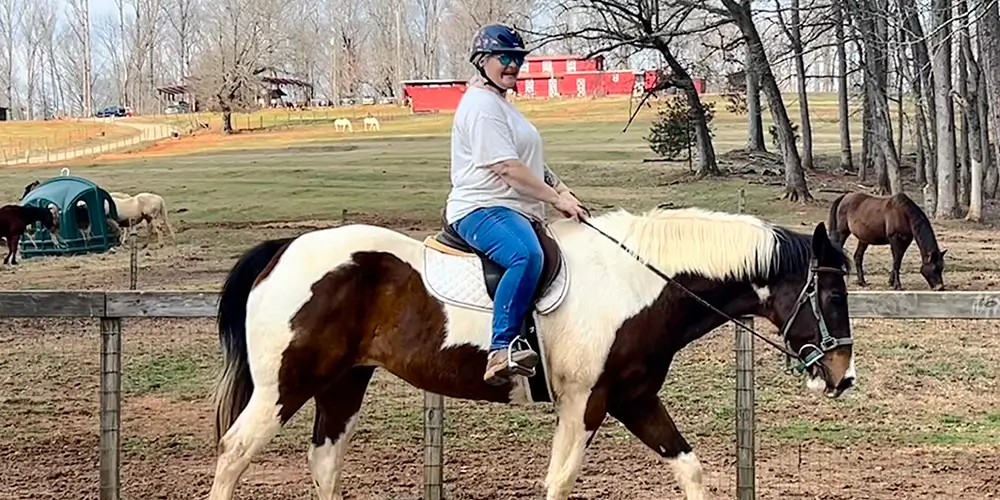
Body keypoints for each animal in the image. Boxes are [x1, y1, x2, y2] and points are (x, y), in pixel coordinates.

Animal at [207, 206, 857, 500]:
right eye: (830, 293)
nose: (843, 376)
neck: (635, 285)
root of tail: (283, 250)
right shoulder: (585, 404)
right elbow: (559, 482)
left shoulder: (634, 398)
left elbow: (689, 468)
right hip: (285, 386)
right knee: (235, 452)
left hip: (343, 383)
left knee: (323, 460)